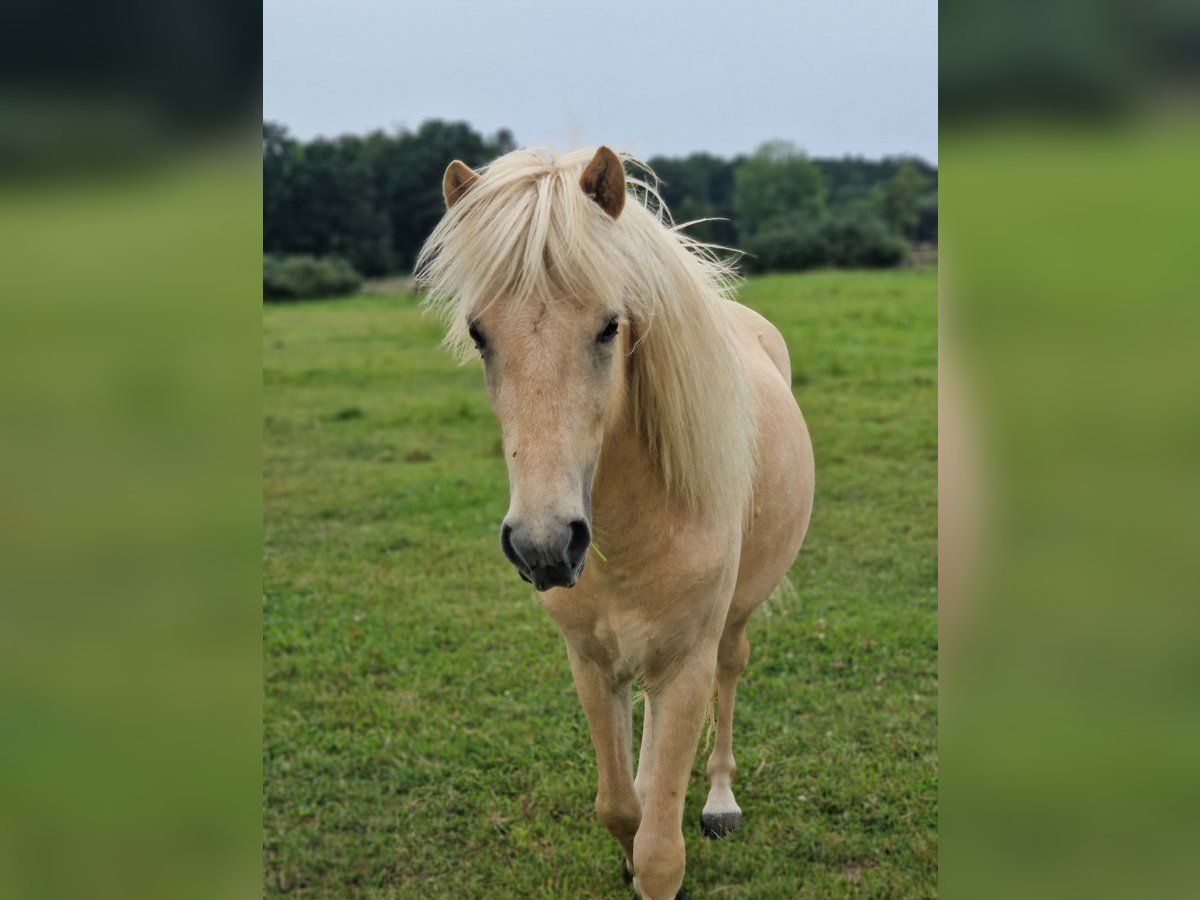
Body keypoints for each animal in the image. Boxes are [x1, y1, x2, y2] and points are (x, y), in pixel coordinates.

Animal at [412, 148, 816, 900]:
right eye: (479, 335)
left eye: (609, 326)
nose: (544, 545)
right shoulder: (594, 666)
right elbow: (622, 807)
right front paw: (627, 847)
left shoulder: (686, 665)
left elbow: (662, 851)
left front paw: (659, 853)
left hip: (732, 624)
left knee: (731, 676)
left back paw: (720, 802)